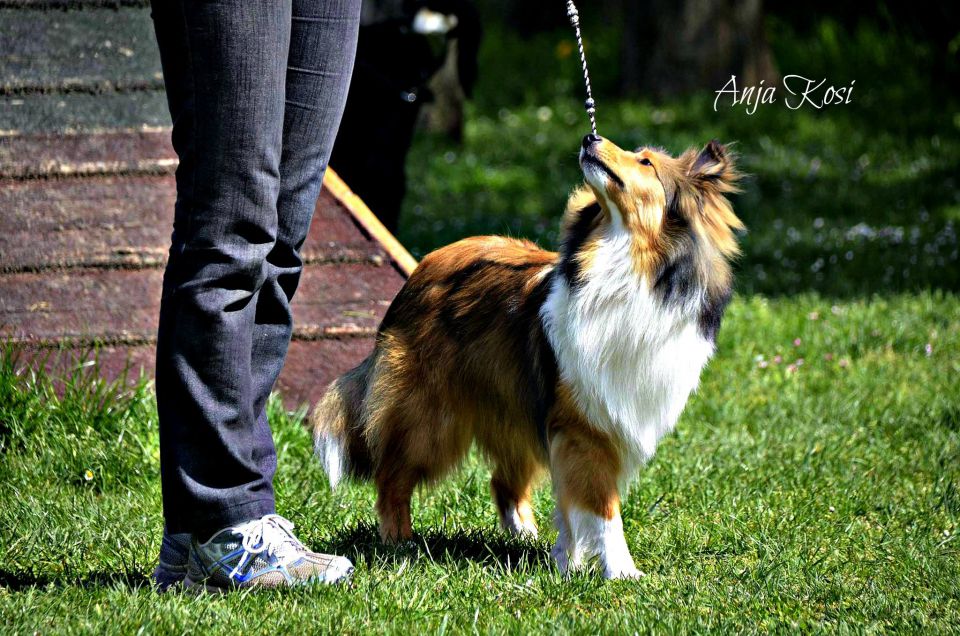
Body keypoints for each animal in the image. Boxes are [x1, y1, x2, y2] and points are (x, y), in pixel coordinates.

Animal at [312, 133, 748, 576]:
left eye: (646, 163)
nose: (590, 137)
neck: (626, 265)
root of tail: (425, 266)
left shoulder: (590, 422)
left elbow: (573, 506)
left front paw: (569, 561)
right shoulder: (584, 427)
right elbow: (604, 508)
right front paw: (621, 572)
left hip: (515, 404)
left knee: (502, 481)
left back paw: (524, 536)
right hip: (431, 418)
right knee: (391, 476)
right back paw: (399, 542)